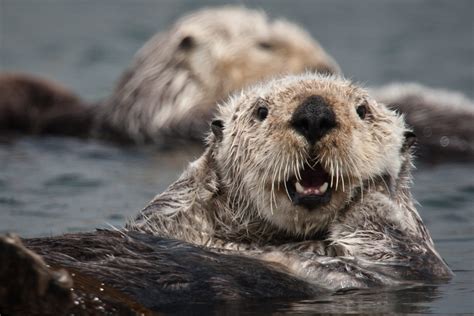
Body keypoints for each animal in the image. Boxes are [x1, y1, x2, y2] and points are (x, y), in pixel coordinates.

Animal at [0, 74, 452, 314]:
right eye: (260, 111)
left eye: (363, 111)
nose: (314, 113)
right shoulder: (165, 220)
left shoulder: (405, 268)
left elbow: (399, 246)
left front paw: (376, 190)